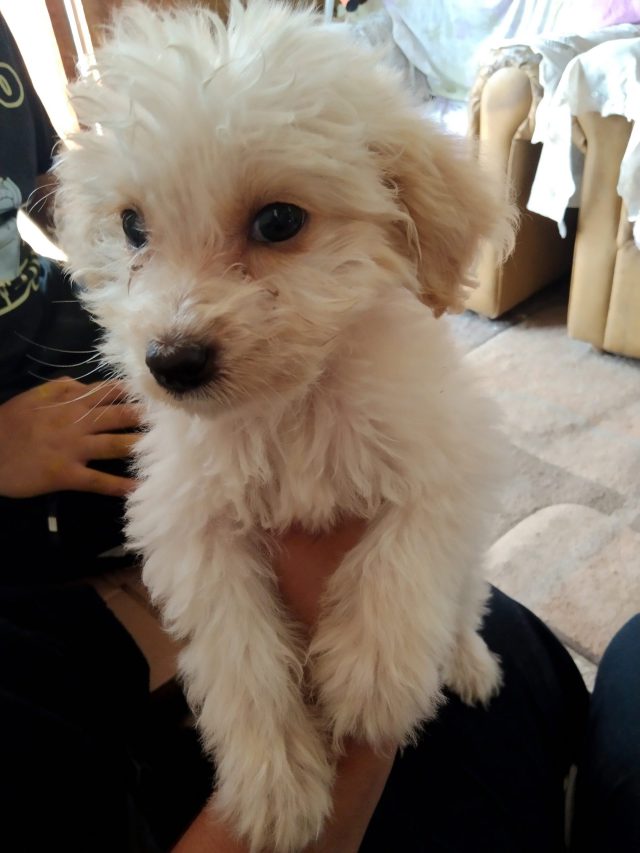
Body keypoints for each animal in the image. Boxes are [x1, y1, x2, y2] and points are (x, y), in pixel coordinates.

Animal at [54, 2, 515, 849]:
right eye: (132, 227)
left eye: (278, 221)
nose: (171, 360)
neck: (289, 408)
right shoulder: (189, 524)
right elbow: (238, 648)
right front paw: (276, 786)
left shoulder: (452, 449)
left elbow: (407, 547)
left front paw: (371, 676)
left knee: (467, 601)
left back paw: (468, 663)